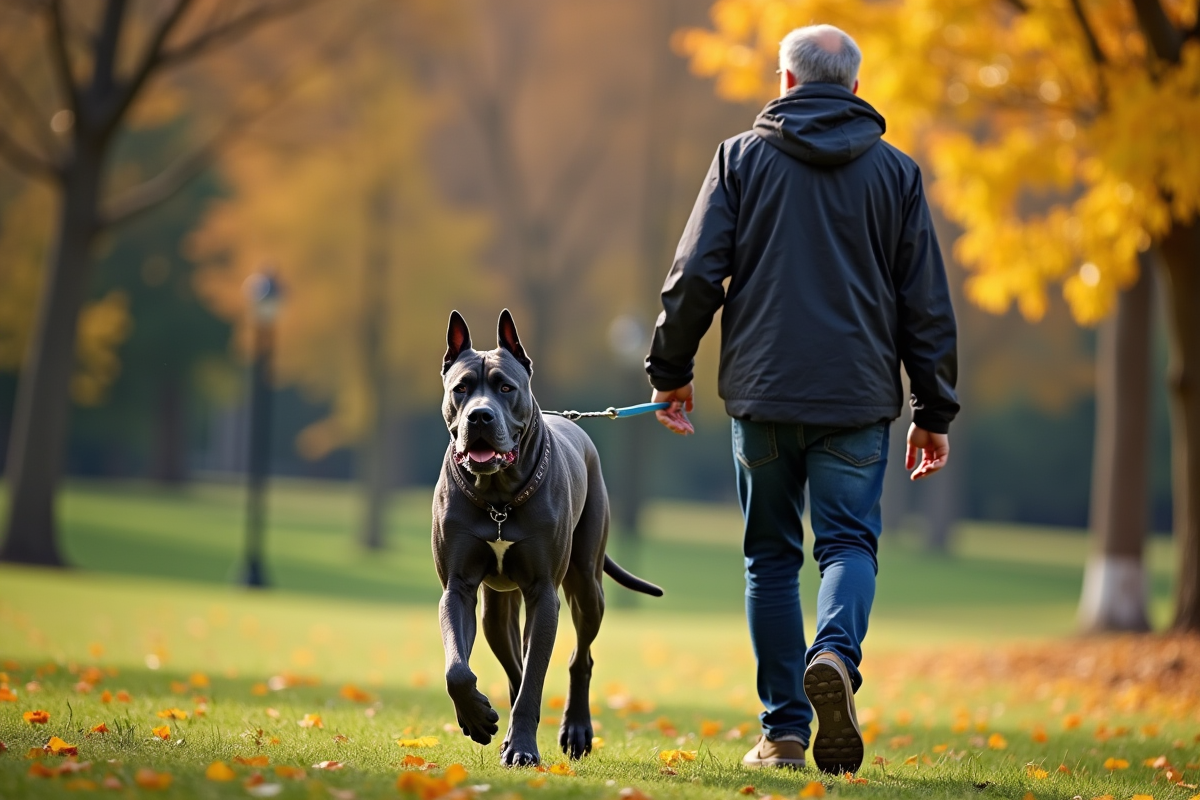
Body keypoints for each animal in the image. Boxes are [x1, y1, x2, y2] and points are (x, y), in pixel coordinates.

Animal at [432, 309, 662, 767]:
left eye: (506, 387)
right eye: (461, 388)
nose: (479, 416)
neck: (498, 498)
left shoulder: (544, 592)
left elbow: (535, 678)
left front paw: (521, 747)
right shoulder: (458, 587)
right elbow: (458, 669)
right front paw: (477, 719)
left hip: (587, 585)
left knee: (580, 656)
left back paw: (576, 730)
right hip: (497, 609)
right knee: (511, 660)